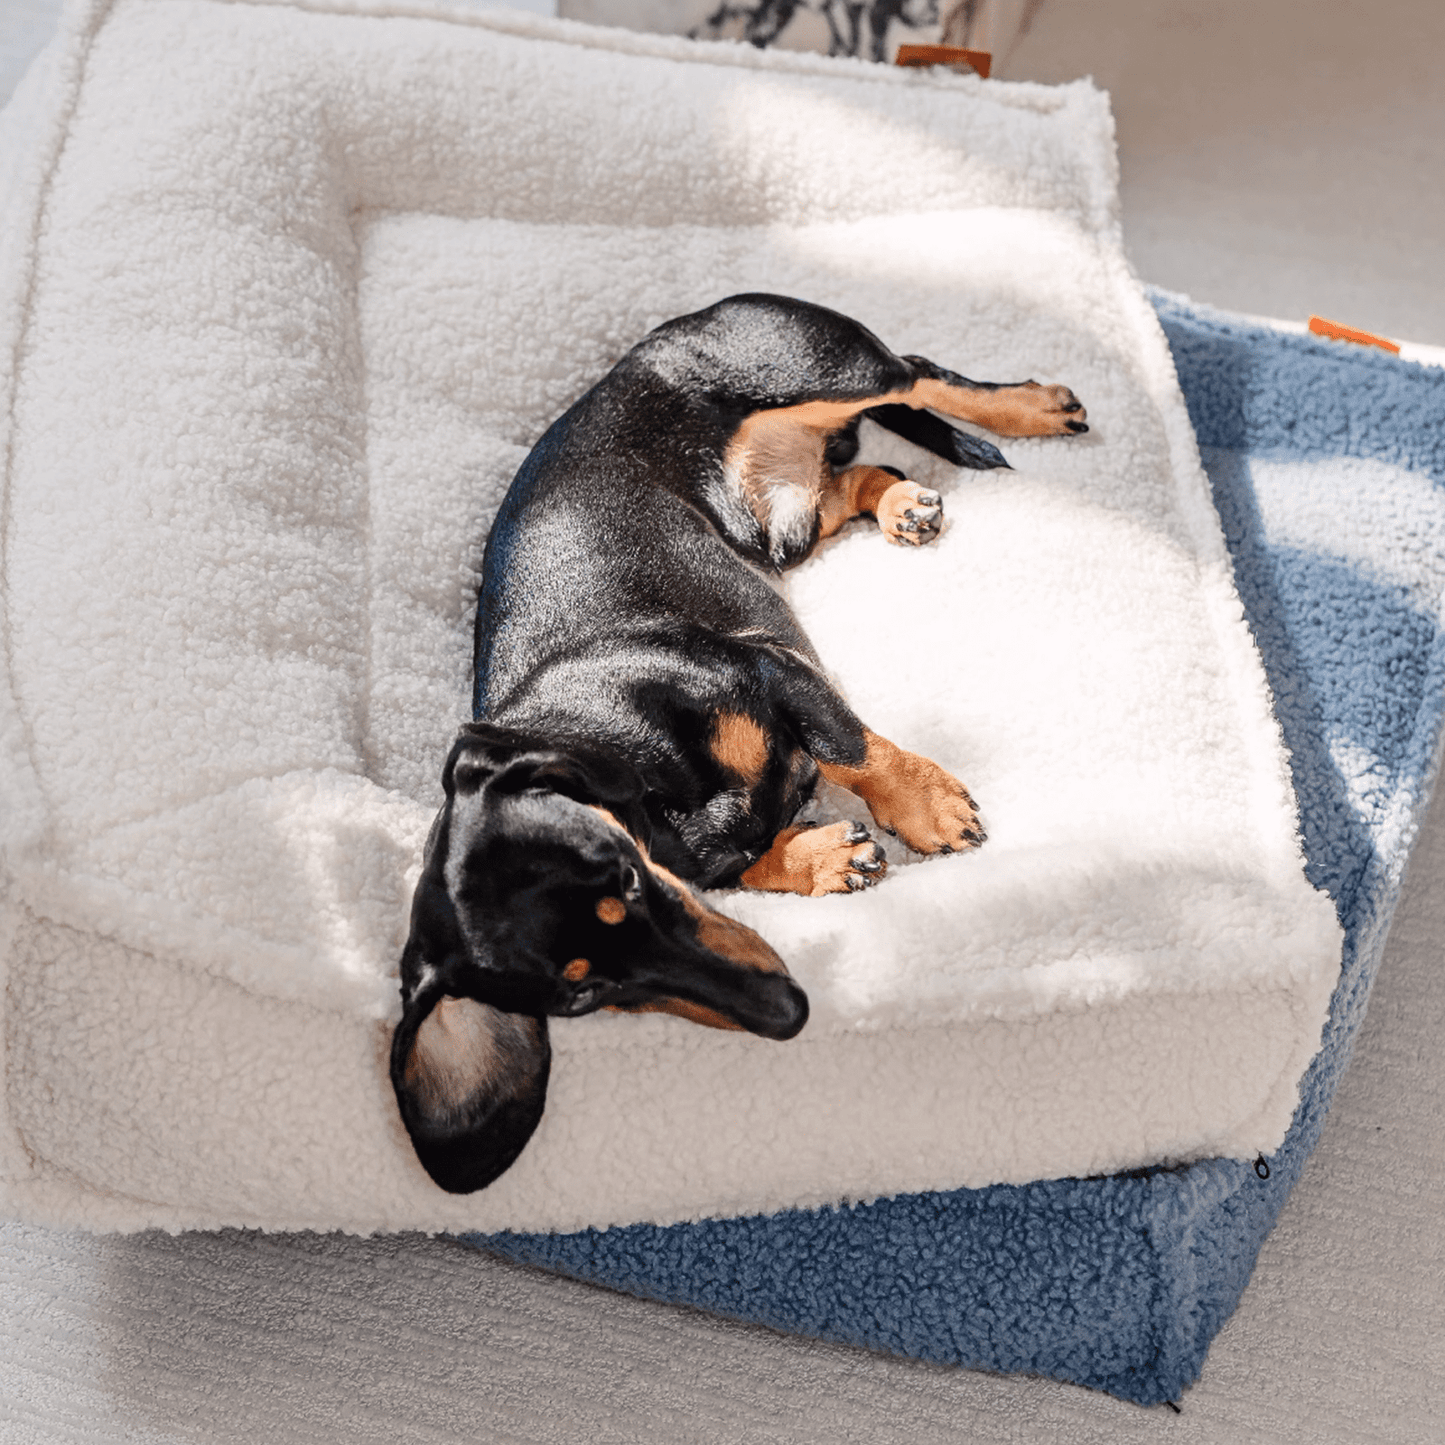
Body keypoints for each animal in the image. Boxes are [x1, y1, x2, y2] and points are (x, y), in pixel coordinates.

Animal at [387, 293, 1086, 1196]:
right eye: (585, 997)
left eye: (626, 878)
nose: (784, 1013)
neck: (648, 778)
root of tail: (677, 325)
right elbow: (754, 857)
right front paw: (823, 858)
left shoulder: (766, 666)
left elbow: (851, 747)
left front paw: (926, 806)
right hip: (791, 529)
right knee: (858, 474)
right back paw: (901, 501)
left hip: (822, 365)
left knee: (921, 373)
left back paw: (1032, 407)